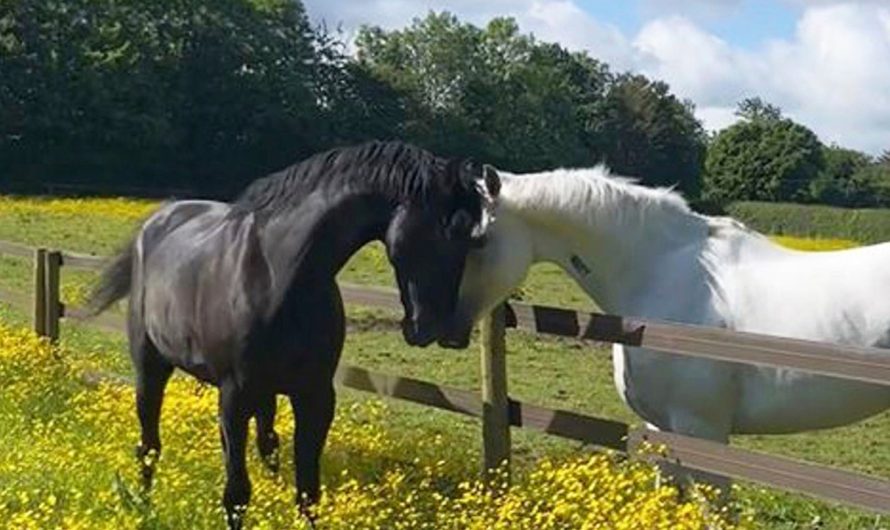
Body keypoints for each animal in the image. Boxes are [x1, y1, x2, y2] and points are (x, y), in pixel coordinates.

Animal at [85, 141, 500, 528]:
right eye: (445, 229)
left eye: (473, 238)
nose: (438, 329)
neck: (278, 274)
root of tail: (156, 222)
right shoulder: (234, 396)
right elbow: (236, 493)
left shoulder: (315, 395)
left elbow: (307, 492)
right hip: (151, 368)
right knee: (149, 446)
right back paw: (143, 507)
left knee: (265, 444)